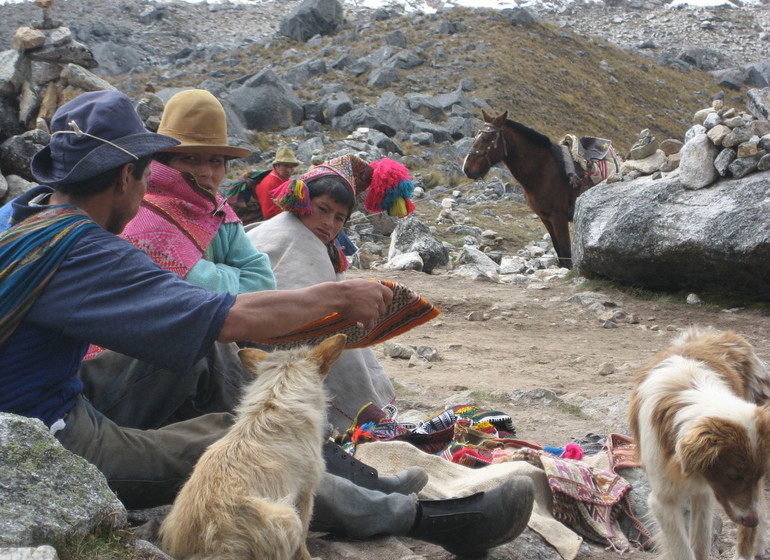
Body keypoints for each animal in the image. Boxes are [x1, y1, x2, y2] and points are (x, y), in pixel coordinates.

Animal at [159, 334, 344, 556]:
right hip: (288, 517)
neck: (275, 401)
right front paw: (308, 556)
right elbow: (304, 538)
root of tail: (203, 547)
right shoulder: (306, 492)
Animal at [462, 110, 588, 268]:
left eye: (485, 138)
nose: (467, 168)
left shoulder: (558, 217)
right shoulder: (546, 218)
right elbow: (559, 251)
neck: (545, 169)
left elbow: (566, 254)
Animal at [628, 328, 768, 560]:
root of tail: (720, 334)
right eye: (733, 476)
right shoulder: (664, 498)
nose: (752, 521)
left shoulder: (705, 492)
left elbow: (701, 544)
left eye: (756, 475)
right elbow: (682, 549)